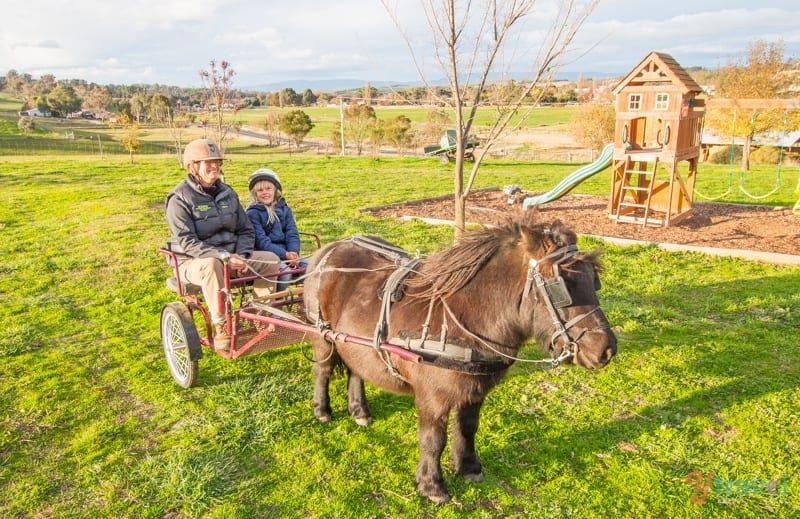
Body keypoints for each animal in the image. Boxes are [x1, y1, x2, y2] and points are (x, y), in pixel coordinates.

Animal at [302, 215, 620, 504]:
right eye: (561, 286)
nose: (606, 349)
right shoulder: (432, 397)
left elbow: (468, 427)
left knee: (356, 370)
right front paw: (432, 485)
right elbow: (433, 440)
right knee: (323, 371)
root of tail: (327, 249)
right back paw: (322, 409)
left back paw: (359, 410)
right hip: (323, 338)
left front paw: (468, 467)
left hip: (355, 342)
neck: (464, 319)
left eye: (594, 281)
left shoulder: (475, 390)